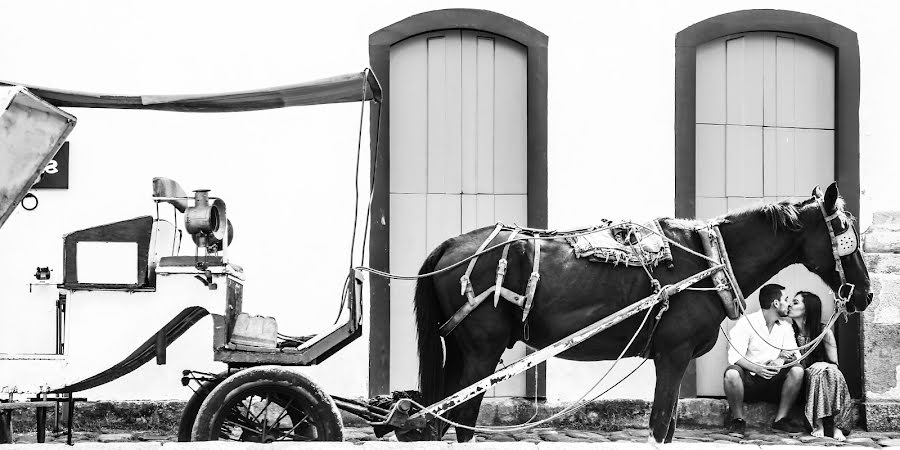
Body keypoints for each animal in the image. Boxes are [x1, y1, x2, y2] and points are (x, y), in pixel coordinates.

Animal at [410, 182, 872, 442]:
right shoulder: (673, 353)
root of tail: (449, 245)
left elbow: (664, 427)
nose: (866, 293)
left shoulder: (668, 357)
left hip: (461, 352)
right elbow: (660, 426)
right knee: (460, 420)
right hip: (481, 353)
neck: (709, 259)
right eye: (844, 227)